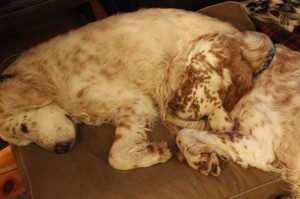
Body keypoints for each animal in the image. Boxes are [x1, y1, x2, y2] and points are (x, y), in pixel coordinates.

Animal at [0, 8, 239, 169]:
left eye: (24, 127)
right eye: (26, 140)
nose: (61, 151)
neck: (50, 77)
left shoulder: (133, 100)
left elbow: (114, 158)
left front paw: (152, 154)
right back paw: (199, 158)